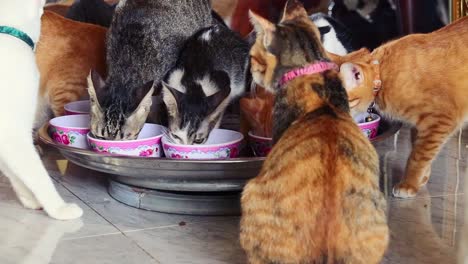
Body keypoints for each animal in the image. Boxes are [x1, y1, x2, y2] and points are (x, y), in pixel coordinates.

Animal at [332, 16, 468, 198]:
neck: (382, 76)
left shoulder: (439, 121)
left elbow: (418, 156)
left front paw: (409, 184)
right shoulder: (419, 126)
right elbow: (417, 147)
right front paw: (422, 178)